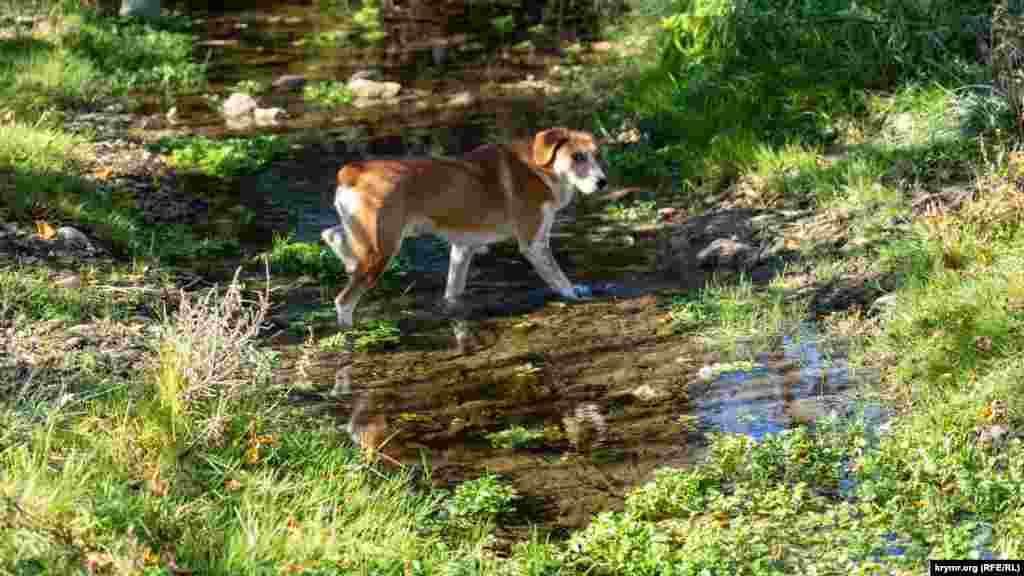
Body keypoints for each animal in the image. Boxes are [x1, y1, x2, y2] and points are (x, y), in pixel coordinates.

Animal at [321, 128, 606, 330]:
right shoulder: (534, 244)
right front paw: (576, 295)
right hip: (382, 250)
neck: (539, 167)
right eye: (577, 157)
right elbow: (560, 279)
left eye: (596, 155)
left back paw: (347, 261)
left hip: (368, 238)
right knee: (343, 301)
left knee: (332, 235)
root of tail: (354, 171)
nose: (603, 182)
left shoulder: (463, 248)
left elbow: (453, 291)